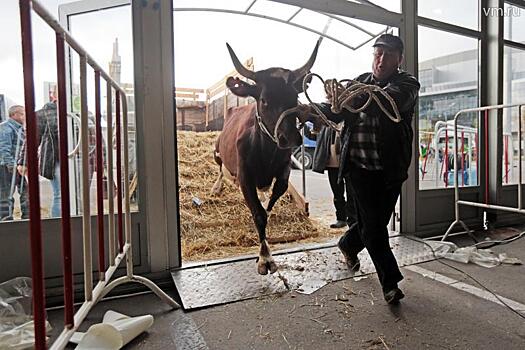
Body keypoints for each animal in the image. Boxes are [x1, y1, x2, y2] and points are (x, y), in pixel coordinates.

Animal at [210, 41, 320, 274]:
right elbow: (259, 215)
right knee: (220, 168)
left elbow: (271, 200)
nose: (290, 137)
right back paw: (217, 187)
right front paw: (265, 257)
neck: (266, 152)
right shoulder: (245, 176)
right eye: (264, 100)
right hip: (216, 151)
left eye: (295, 98)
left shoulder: (284, 170)